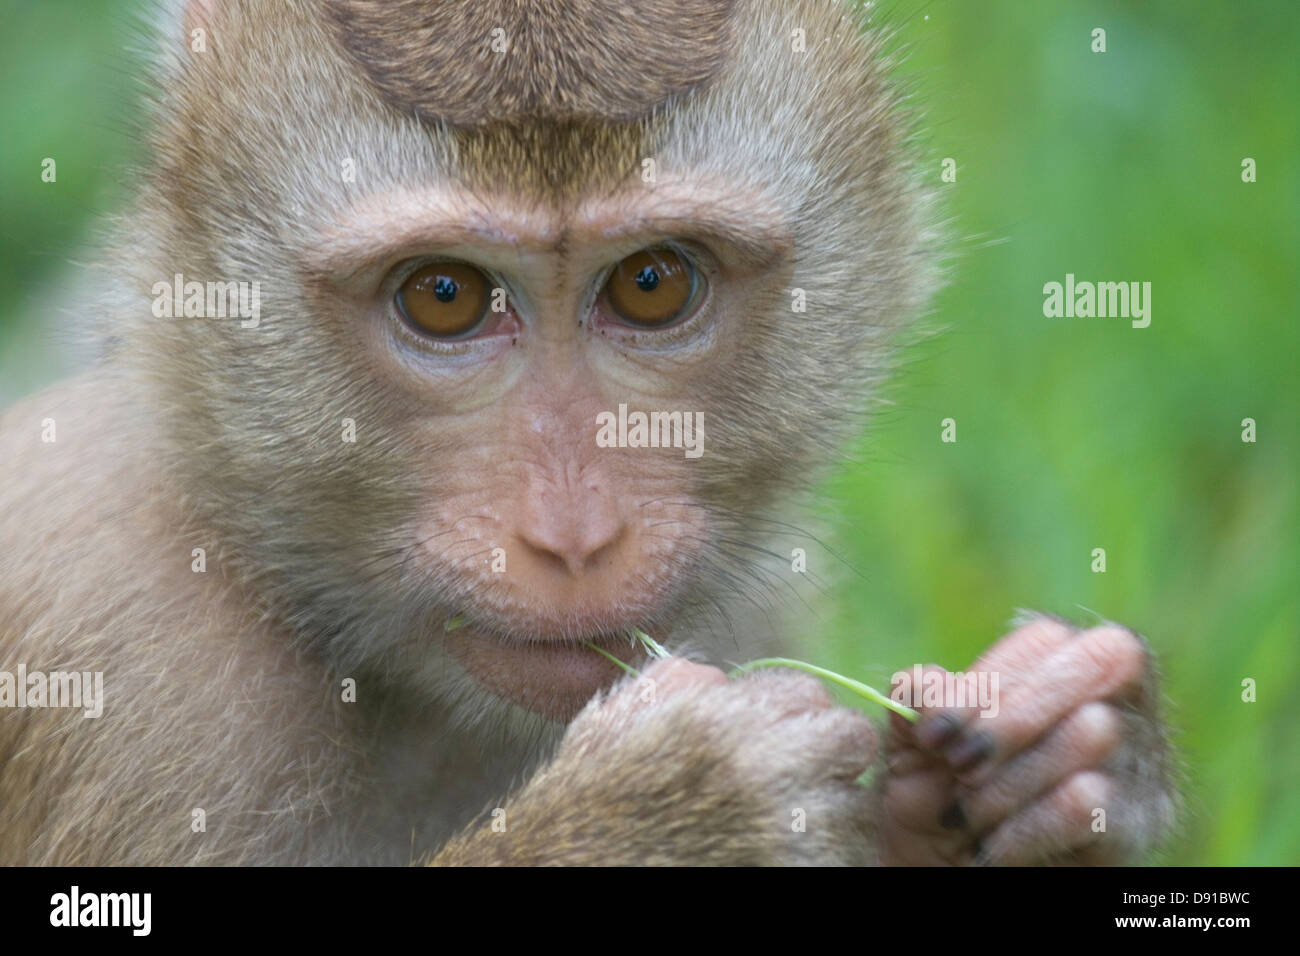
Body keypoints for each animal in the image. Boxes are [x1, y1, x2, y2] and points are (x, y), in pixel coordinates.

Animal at [0, 0, 1180, 868]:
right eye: (442, 296)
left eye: (653, 282)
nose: (575, 539)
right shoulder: (122, 650)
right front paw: (683, 807)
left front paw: (1058, 749)